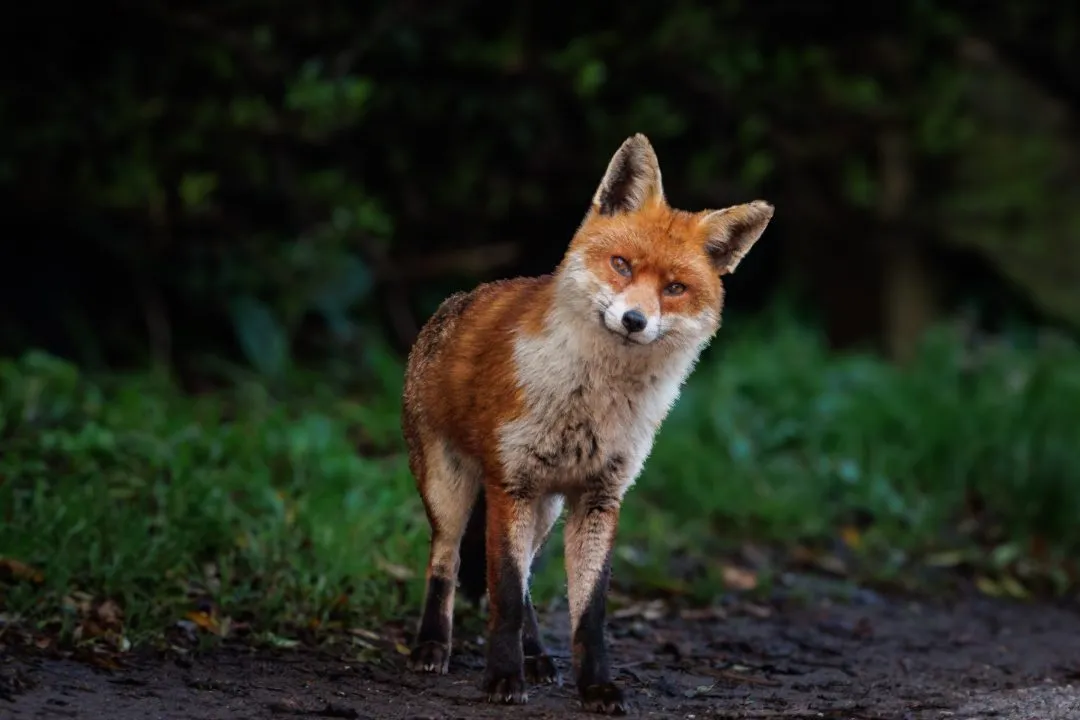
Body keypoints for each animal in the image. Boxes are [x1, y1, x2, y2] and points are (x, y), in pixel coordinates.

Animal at [401, 133, 774, 714]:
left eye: (674, 288)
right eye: (621, 264)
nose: (634, 320)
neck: (591, 402)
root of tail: (455, 301)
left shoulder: (600, 497)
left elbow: (588, 610)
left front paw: (595, 685)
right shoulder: (511, 484)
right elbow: (503, 596)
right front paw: (502, 678)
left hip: (546, 511)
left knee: (527, 580)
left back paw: (536, 658)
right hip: (453, 489)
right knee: (446, 562)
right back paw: (432, 646)